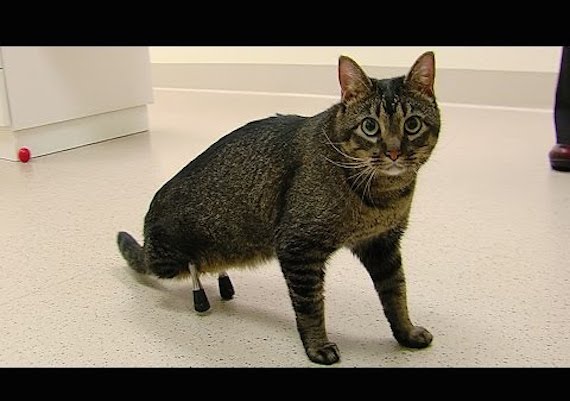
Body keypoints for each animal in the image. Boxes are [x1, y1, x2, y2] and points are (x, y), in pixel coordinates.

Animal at [118, 52, 440, 365]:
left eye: (412, 124)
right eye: (370, 126)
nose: (394, 152)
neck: (383, 196)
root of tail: (148, 237)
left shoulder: (382, 244)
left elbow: (396, 294)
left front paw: (406, 333)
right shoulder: (298, 247)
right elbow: (310, 306)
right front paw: (317, 347)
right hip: (169, 263)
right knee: (187, 268)